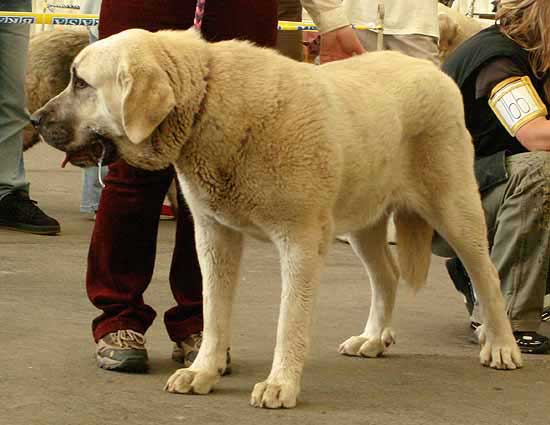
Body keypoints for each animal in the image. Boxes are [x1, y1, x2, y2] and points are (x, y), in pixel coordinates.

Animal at [32, 29, 524, 408]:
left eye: (81, 83)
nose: (35, 119)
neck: (207, 102)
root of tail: (431, 68)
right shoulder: (214, 237)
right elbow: (213, 311)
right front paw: (204, 370)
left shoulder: (300, 241)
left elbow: (290, 320)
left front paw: (280, 383)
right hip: (362, 220)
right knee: (386, 276)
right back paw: (373, 338)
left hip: (454, 207)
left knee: (487, 275)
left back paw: (501, 345)